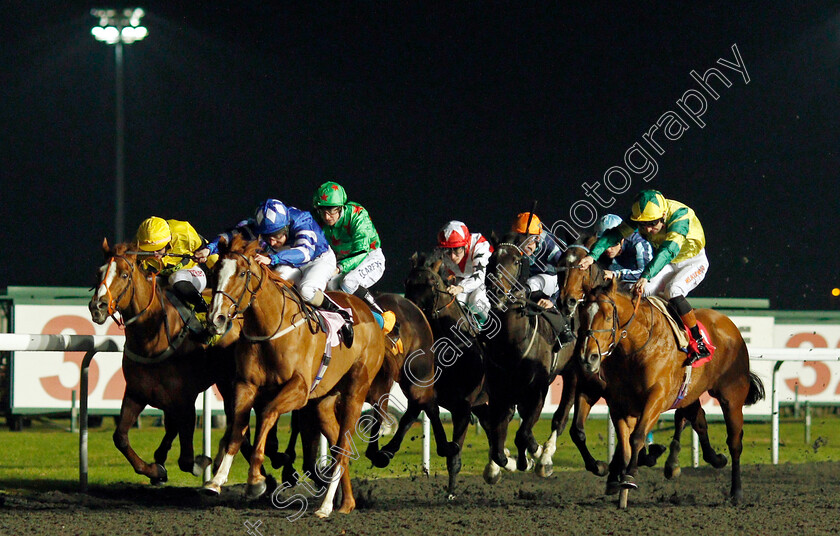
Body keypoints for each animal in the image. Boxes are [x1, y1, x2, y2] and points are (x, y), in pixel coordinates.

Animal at [90, 239, 244, 482]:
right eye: (99, 273)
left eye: (124, 274)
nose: (98, 306)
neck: (153, 336)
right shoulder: (137, 392)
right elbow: (120, 437)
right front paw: (155, 470)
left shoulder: (186, 399)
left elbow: (187, 458)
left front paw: (202, 462)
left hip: (228, 381)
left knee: (233, 417)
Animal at [203, 237, 388, 516]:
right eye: (215, 273)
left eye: (243, 273)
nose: (217, 318)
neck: (270, 328)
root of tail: (370, 314)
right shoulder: (245, 385)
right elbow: (237, 428)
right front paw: (216, 479)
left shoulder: (299, 389)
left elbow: (267, 414)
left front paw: (255, 481)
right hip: (323, 402)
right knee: (337, 445)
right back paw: (346, 503)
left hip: (356, 391)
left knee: (343, 449)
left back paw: (325, 506)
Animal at [580, 278, 764, 508]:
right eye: (583, 315)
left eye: (606, 316)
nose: (589, 358)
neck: (637, 347)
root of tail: (729, 325)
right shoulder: (619, 405)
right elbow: (625, 445)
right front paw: (621, 488)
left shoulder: (656, 397)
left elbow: (637, 437)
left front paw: (629, 477)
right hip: (689, 393)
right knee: (698, 421)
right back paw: (709, 459)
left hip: (732, 395)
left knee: (735, 442)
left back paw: (736, 492)